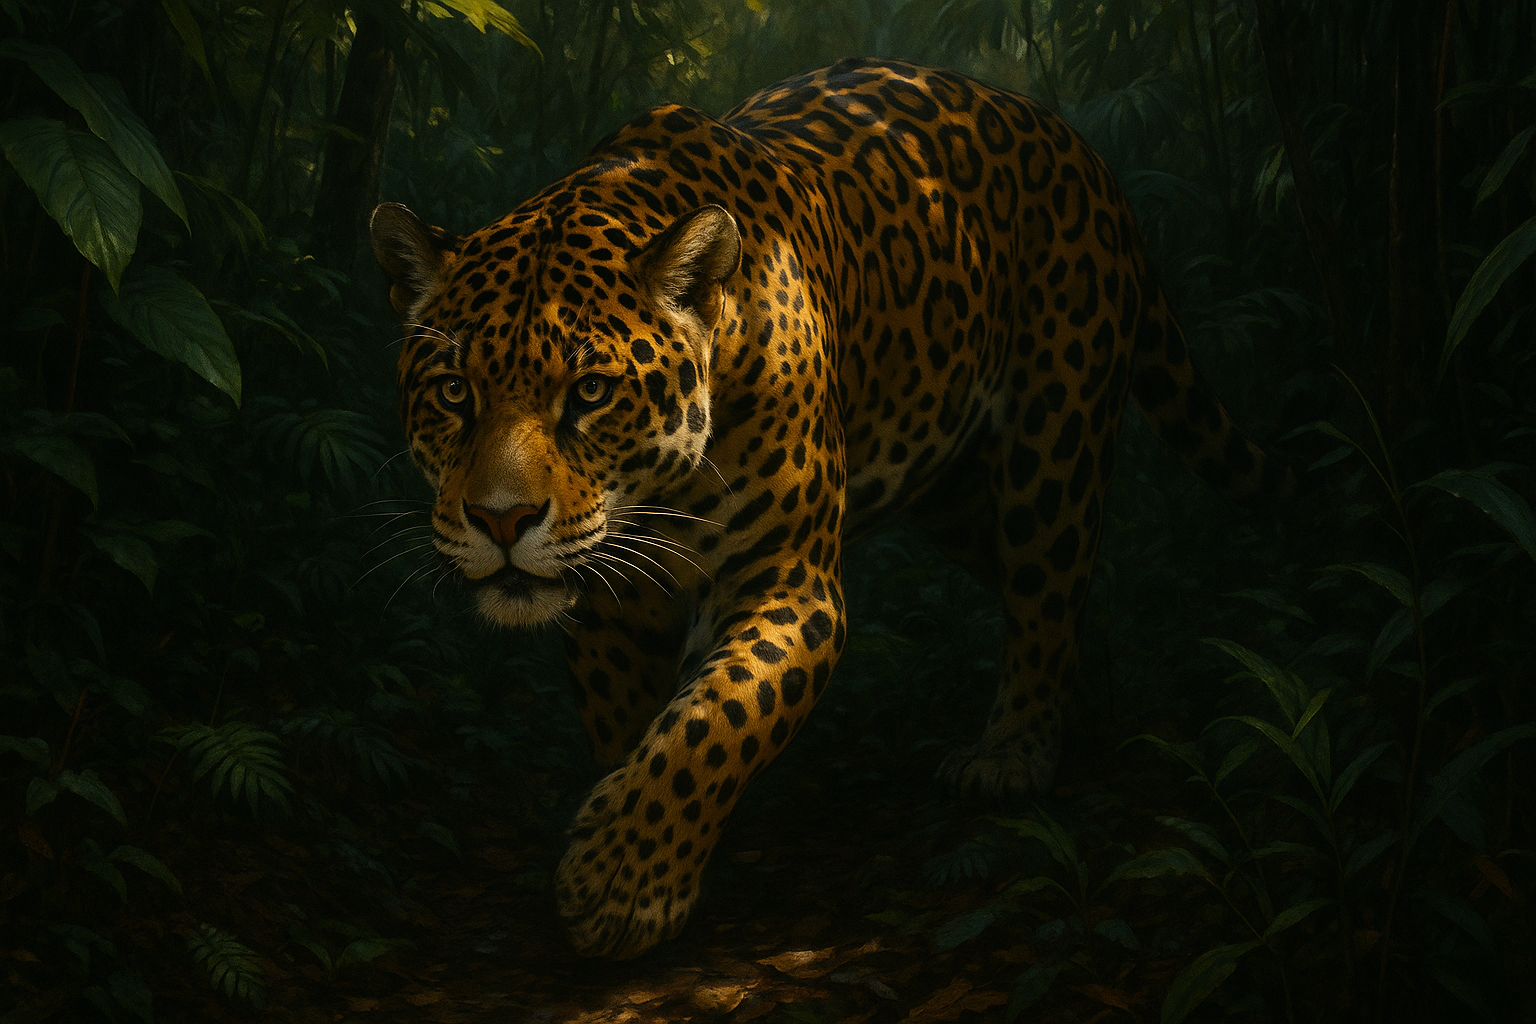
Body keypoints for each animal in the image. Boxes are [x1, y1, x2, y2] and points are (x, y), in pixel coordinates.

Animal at [369, 57, 1293, 960]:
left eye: (590, 393)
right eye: (454, 392)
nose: (500, 521)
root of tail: (1078, 144)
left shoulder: (787, 583)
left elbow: (713, 722)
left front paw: (620, 883)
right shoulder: (609, 599)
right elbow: (636, 727)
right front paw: (638, 838)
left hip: (1054, 439)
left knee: (1046, 586)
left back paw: (1013, 754)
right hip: (953, 489)